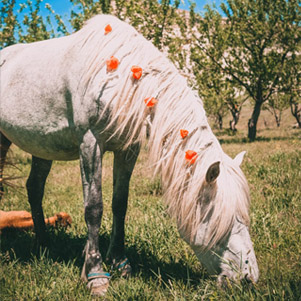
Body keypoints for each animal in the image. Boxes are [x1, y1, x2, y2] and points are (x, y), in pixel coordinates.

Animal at [0, 14, 258, 296]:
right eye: (225, 220)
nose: (249, 278)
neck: (121, 78)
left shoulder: (127, 149)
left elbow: (119, 204)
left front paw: (120, 262)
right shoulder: (90, 144)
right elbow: (94, 208)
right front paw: (95, 274)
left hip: (42, 147)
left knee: (34, 188)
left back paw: (44, 245)